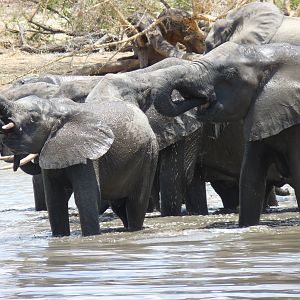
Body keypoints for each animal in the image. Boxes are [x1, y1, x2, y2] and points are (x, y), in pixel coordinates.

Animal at [0, 95, 159, 236]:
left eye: (33, 118)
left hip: (149, 155)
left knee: (135, 203)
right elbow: (54, 202)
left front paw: (91, 237)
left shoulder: (88, 157)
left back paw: (134, 230)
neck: (56, 108)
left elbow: (85, 198)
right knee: (119, 205)